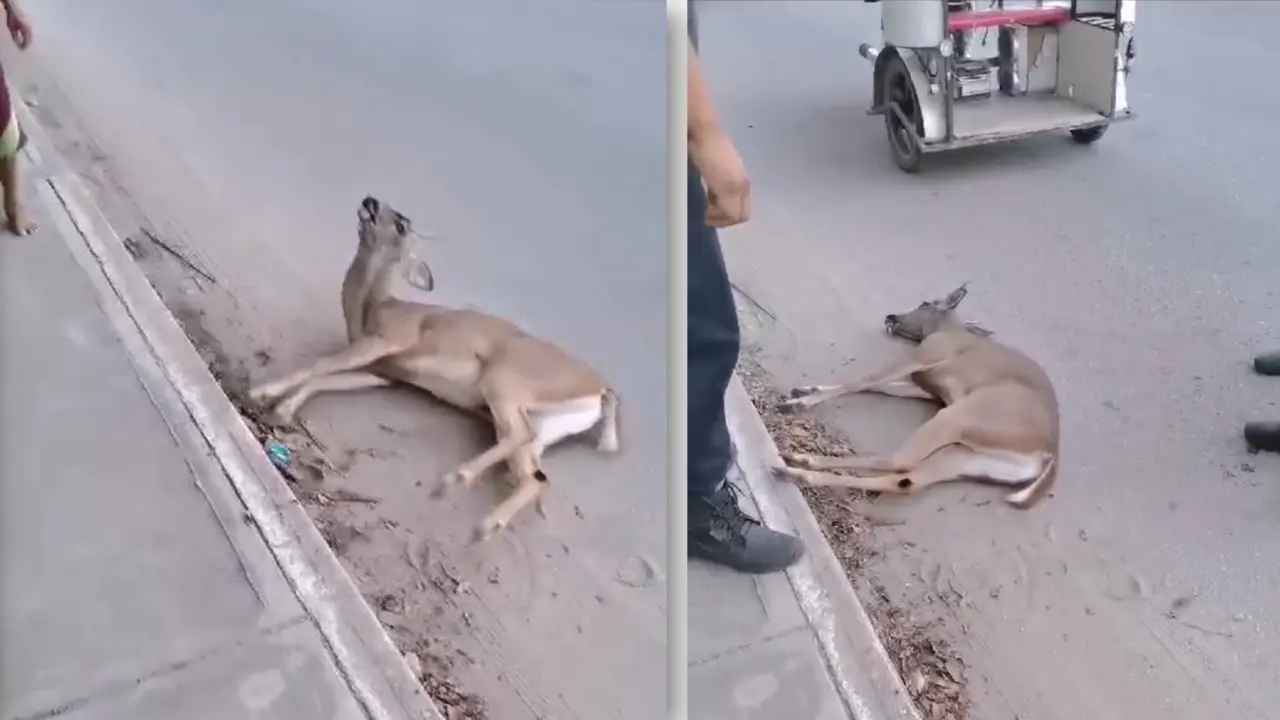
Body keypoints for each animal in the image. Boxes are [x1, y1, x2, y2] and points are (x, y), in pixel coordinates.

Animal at [248, 196, 619, 538]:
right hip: (542, 426)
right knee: (535, 476)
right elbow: (326, 380)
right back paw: (484, 526)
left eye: (401, 225)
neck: (371, 308)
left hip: (504, 381)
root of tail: (601, 390)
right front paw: (281, 409)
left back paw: (452, 482)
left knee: (521, 438)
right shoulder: (384, 373)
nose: (370, 201)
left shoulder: (388, 339)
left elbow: (322, 364)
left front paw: (262, 392)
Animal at [768, 283, 1059, 507]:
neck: (947, 330)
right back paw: (800, 470)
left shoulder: (924, 357)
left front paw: (800, 402)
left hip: (960, 416)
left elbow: (865, 380)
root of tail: (1047, 456)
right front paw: (807, 389)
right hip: (970, 456)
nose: (890, 317)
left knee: (898, 460)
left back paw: (799, 464)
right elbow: (878, 385)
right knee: (907, 480)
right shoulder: (928, 387)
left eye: (925, 303)